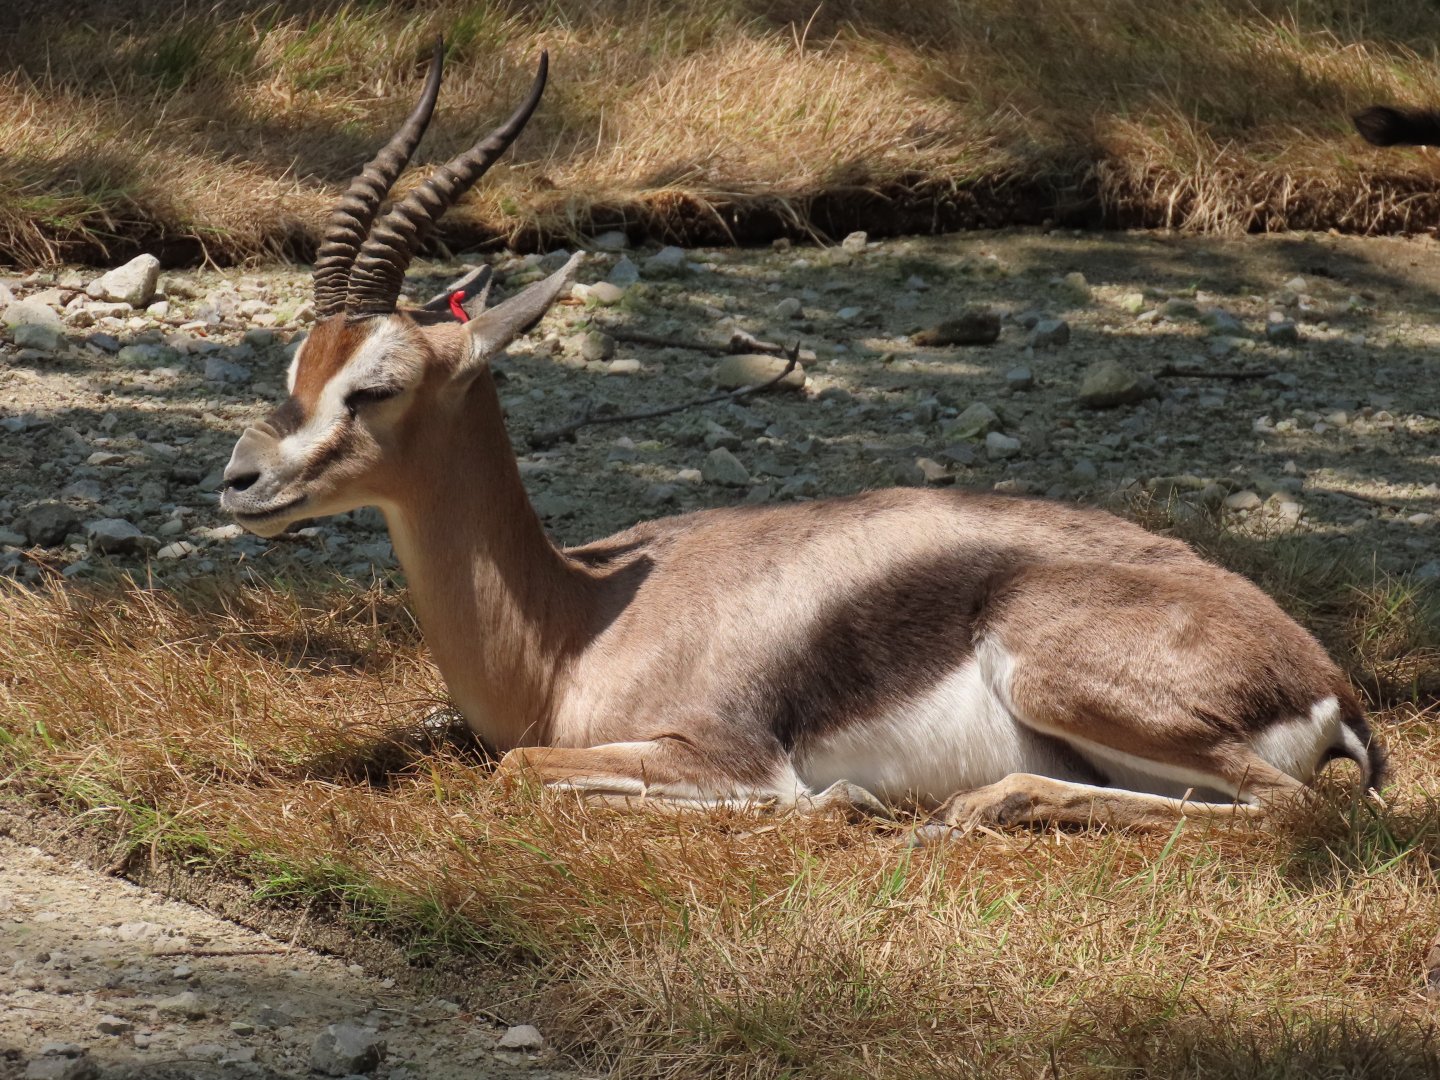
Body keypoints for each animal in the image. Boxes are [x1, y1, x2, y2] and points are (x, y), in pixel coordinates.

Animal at [221, 43, 1385, 834]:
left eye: (375, 387)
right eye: (295, 370)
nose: (239, 481)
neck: (573, 627)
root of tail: (1327, 681)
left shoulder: (724, 755)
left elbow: (536, 772)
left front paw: (837, 805)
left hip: (1064, 681)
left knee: (1295, 807)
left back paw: (969, 808)